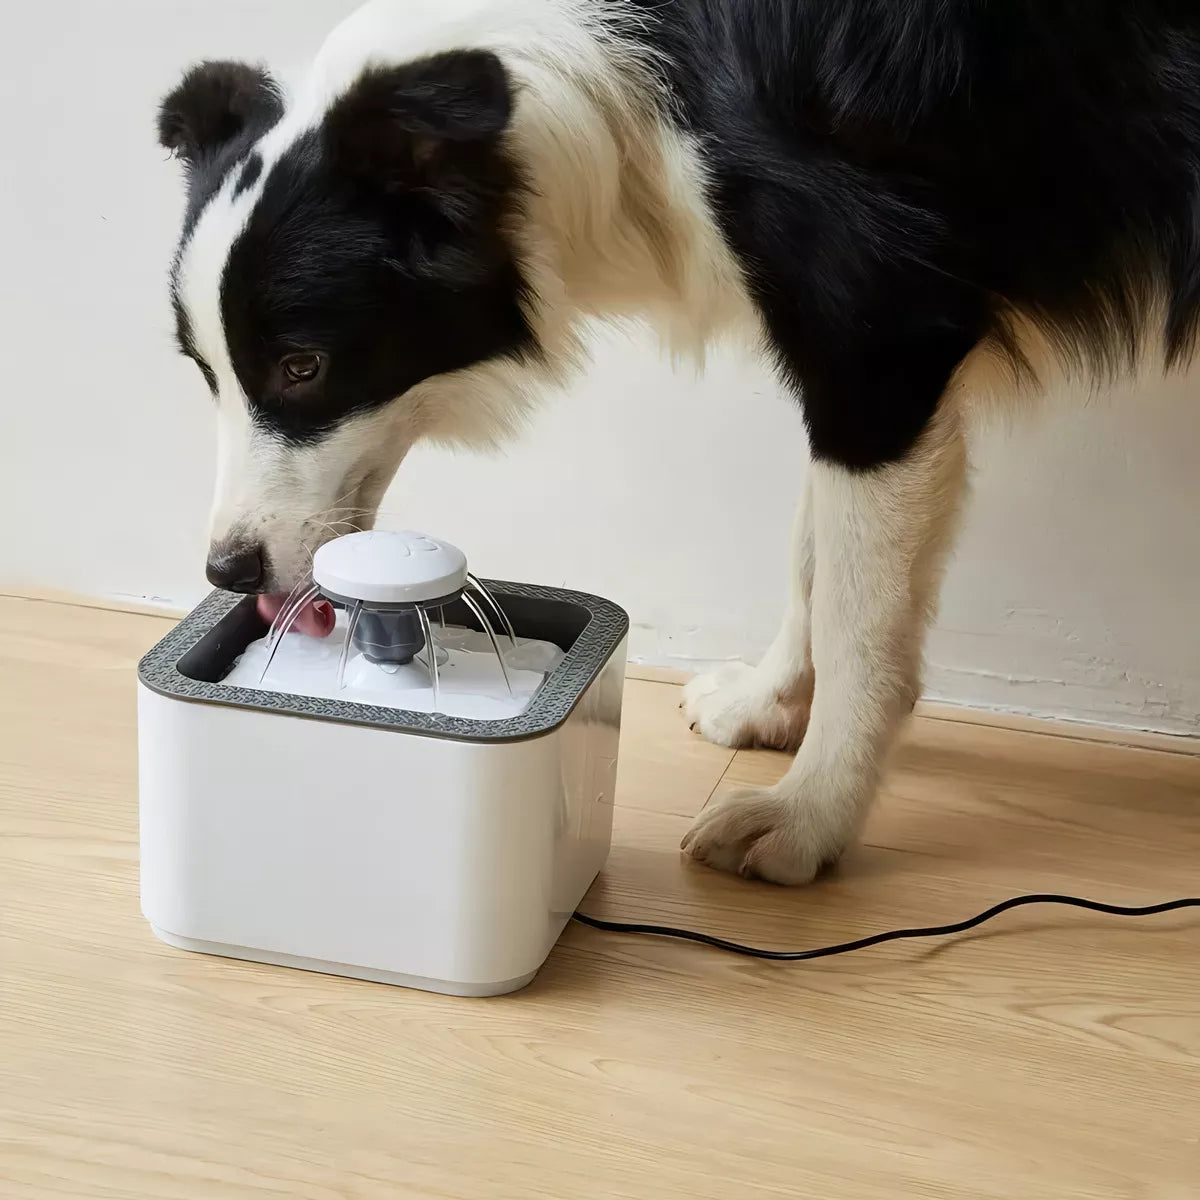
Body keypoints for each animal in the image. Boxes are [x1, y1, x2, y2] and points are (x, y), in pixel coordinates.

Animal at [157, 0, 1200, 883]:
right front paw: (769, 705)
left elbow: (858, 610)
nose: (228, 571)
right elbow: (812, 550)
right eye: (205, 371)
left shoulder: (883, 330)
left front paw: (806, 817)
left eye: (302, 367)